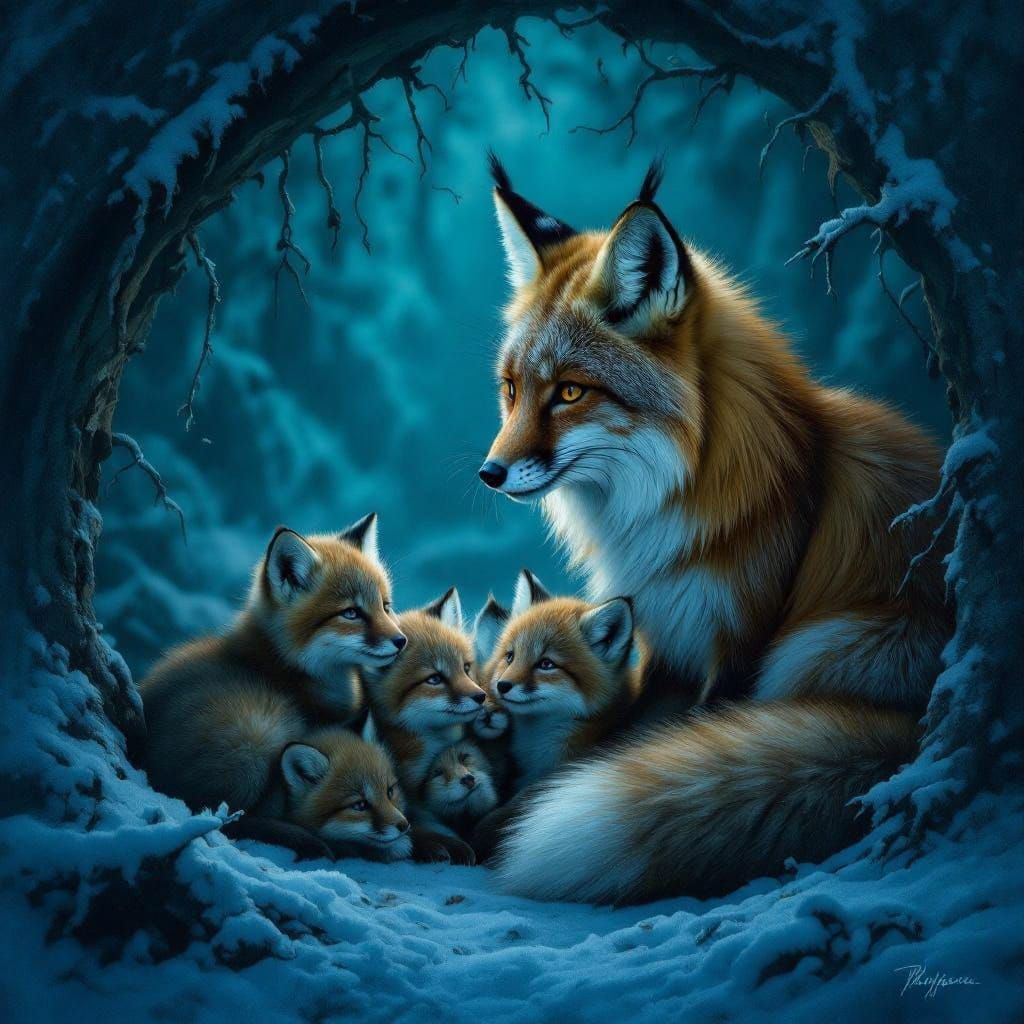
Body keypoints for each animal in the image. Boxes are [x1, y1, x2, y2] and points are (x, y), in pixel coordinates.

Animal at [475, 154, 949, 901]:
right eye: (512, 390)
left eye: (571, 392)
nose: (489, 473)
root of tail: (921, 729)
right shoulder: (666, 639)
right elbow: (628, 735)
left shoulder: (740, 644)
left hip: (818, 648)